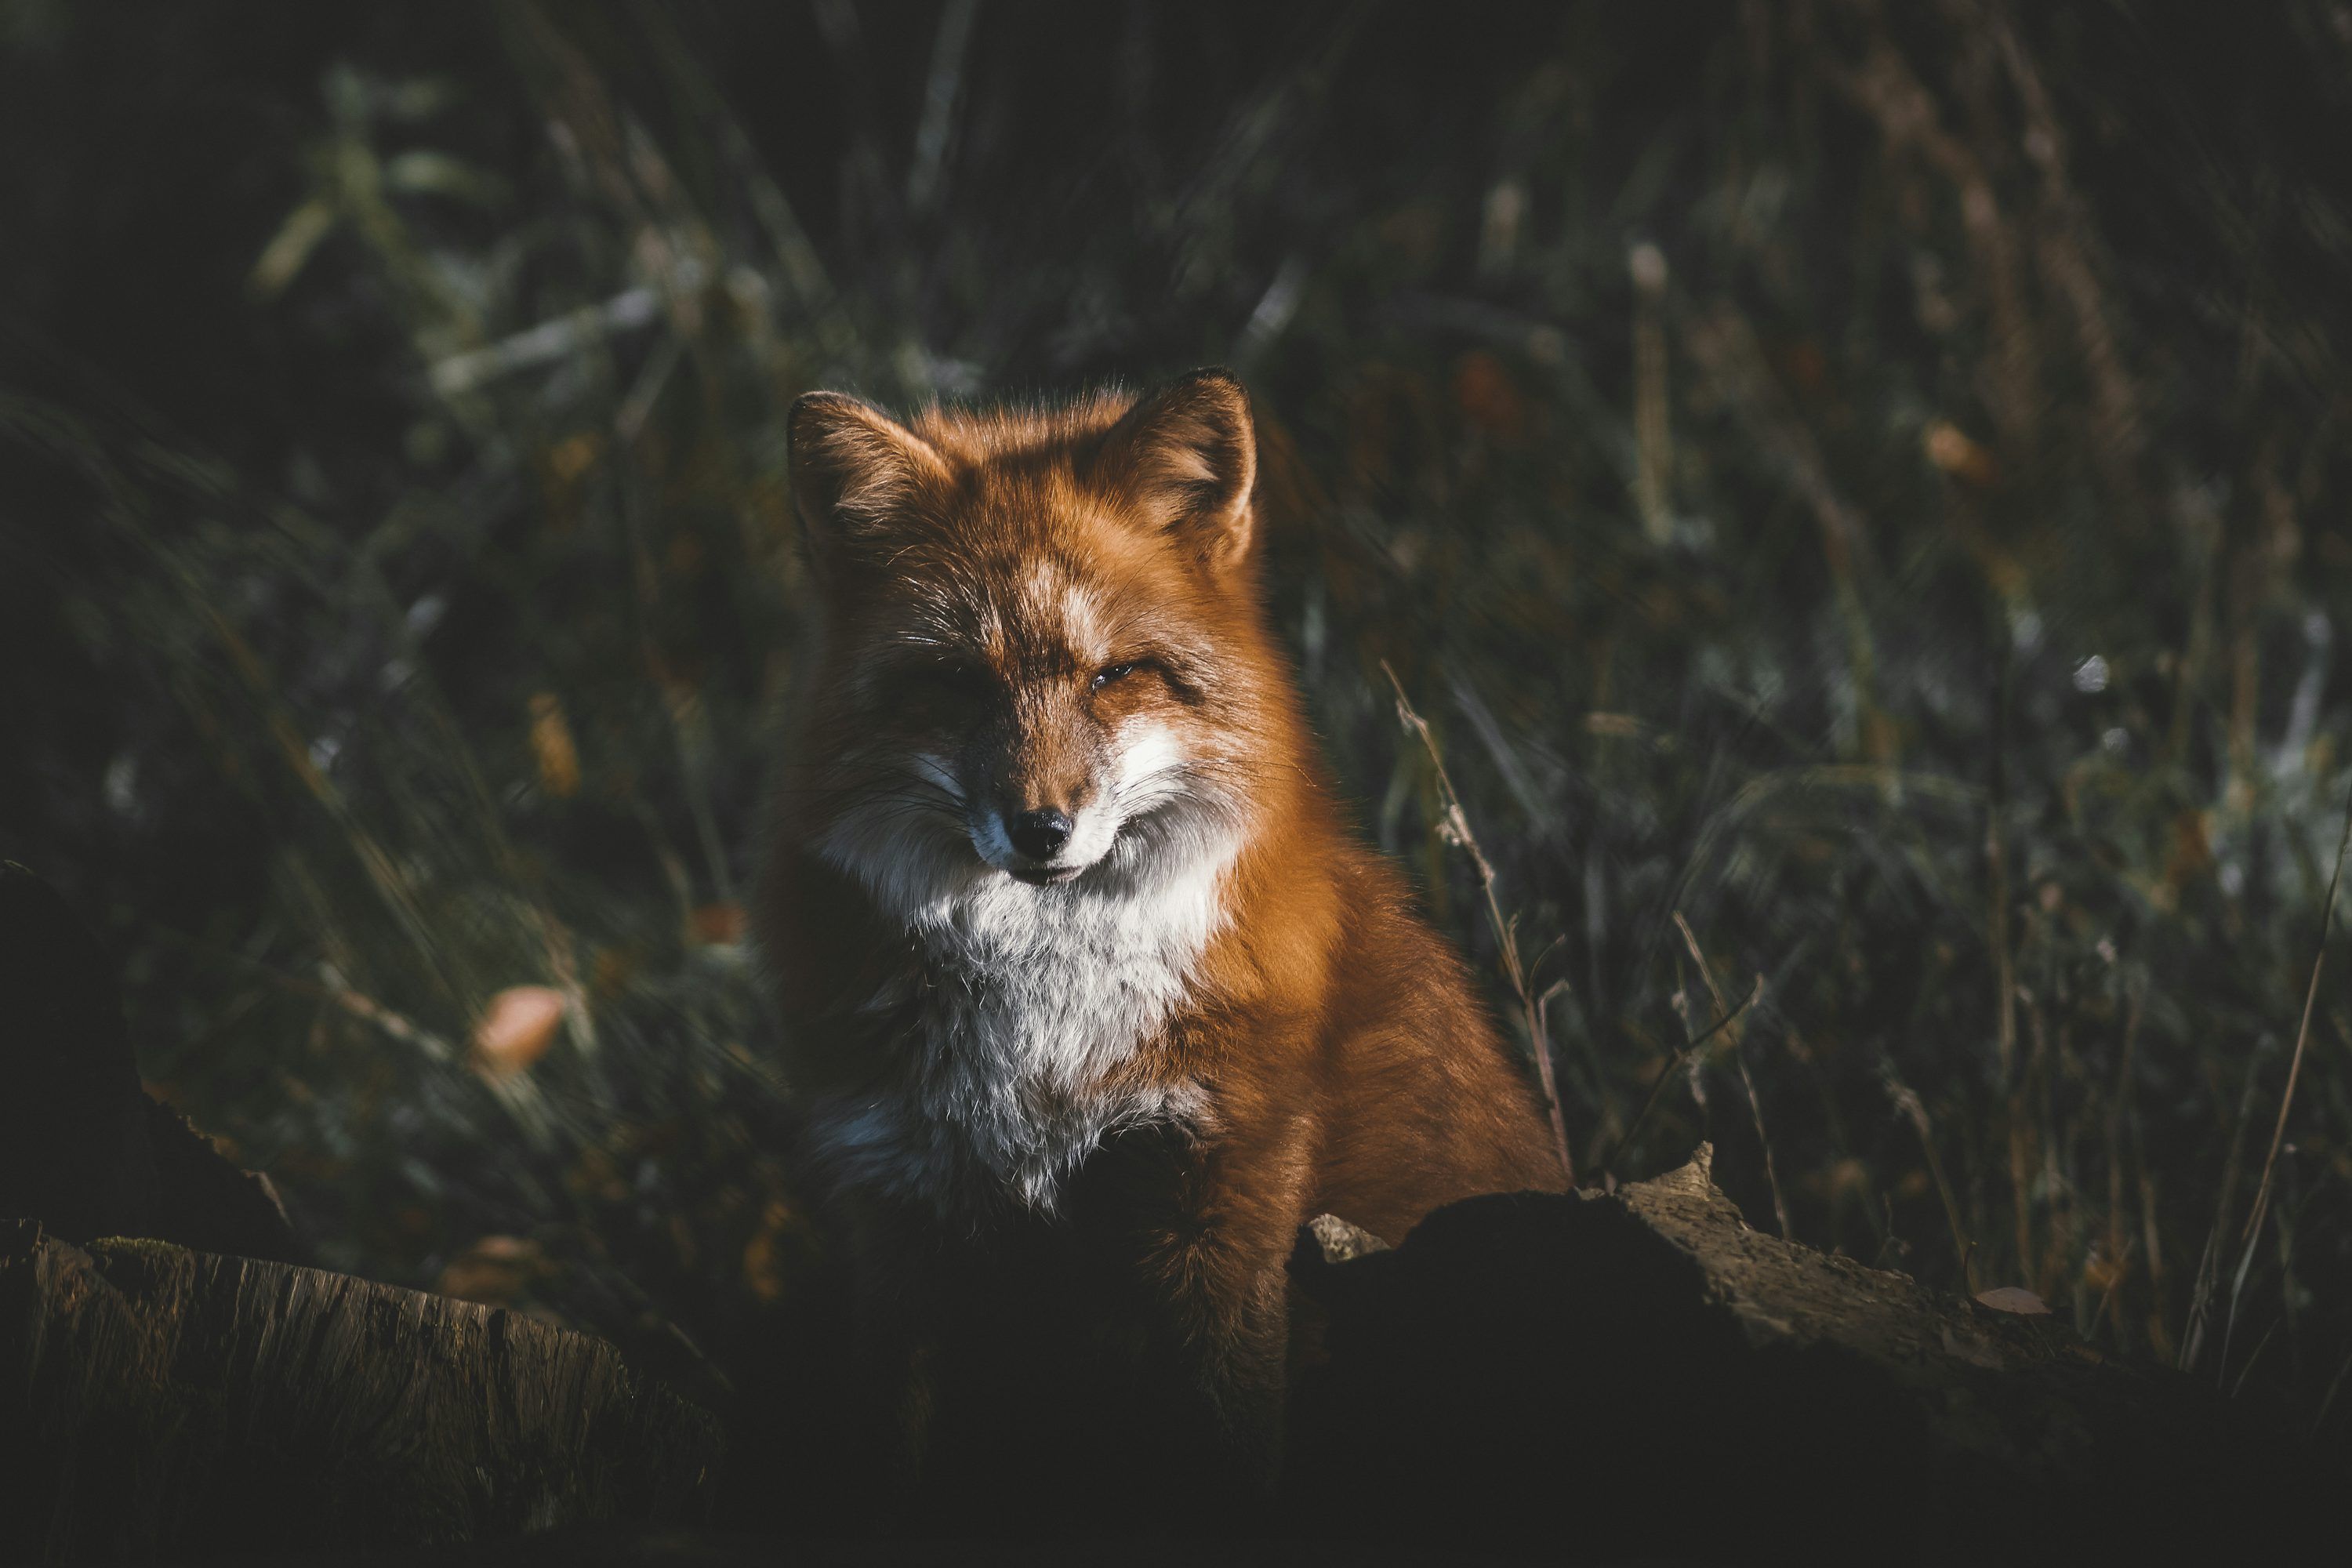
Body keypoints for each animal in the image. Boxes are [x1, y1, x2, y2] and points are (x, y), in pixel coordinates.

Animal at [754, 367, 1565, 1511]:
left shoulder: (1223, 1201)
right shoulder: (903, 1218)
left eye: (1114, 676)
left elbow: (1228, 1445)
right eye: (958, 682)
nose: (1041, 827)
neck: (1046, 1038)